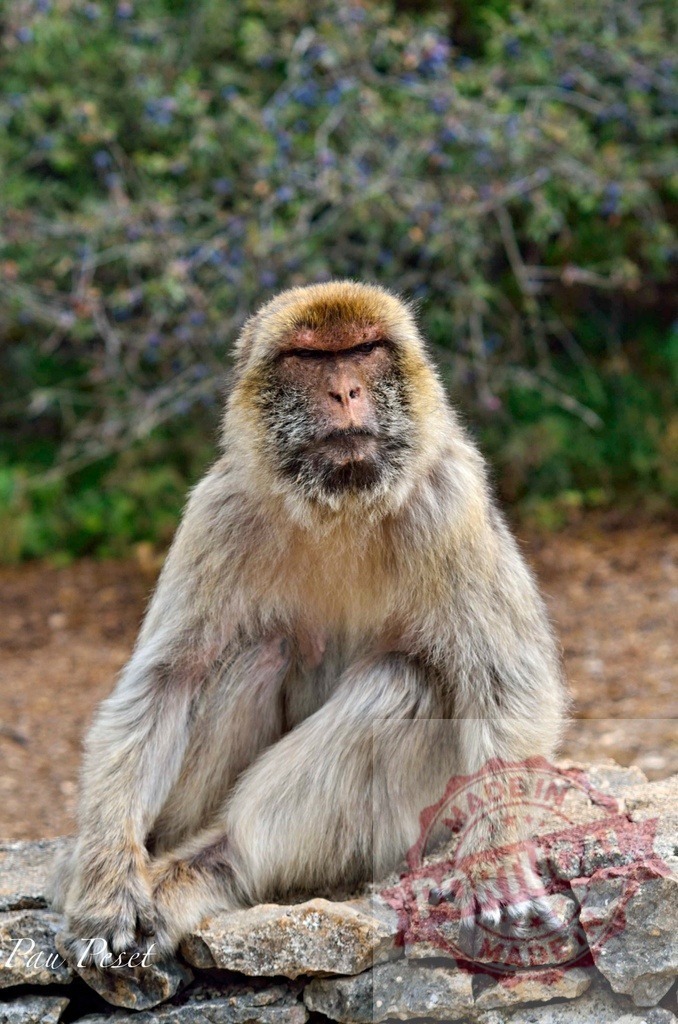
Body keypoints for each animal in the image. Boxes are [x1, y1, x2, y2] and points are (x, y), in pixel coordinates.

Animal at [52, 280, 566, 967]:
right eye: (309, 358)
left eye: (363, 350)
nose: (344, 392)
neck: (340, 507)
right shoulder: (218, 512)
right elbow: (163, 685)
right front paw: (106, 882)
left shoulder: (449, 501)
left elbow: (507, 686)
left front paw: (496, 861)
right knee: (251, 655)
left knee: (405, 683)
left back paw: (223, 862)